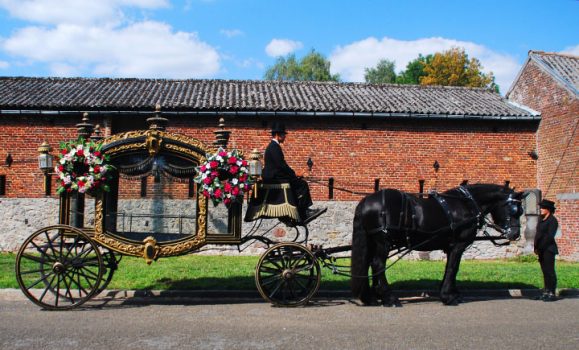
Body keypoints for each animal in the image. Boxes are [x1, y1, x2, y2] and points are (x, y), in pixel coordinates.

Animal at [352, 185, 528, 304]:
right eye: (514, 210)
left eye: (521, 211)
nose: (515, 234)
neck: (466, 204)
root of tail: (366, 201)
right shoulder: (458, 245)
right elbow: (453, 267)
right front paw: (448, 296)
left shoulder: (450, 247)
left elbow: (450, 268)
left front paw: (451, 292)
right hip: (384, 241)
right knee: (378, 264)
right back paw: (389, 297)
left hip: (374, 241)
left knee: (370, 263)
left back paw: (373, 295)